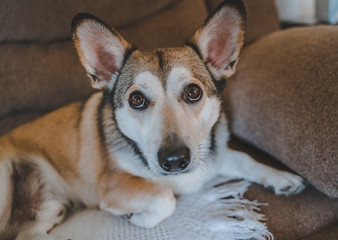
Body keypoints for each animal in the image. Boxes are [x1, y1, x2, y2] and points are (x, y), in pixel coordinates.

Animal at [0, 0, 306, 239]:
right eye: (137, 99)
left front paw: (280, 177)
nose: (175, 160)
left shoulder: (214, 157)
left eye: (193, 92)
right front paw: (138, 217)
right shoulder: (111, 185)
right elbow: (164, 196)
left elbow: (243, 158)